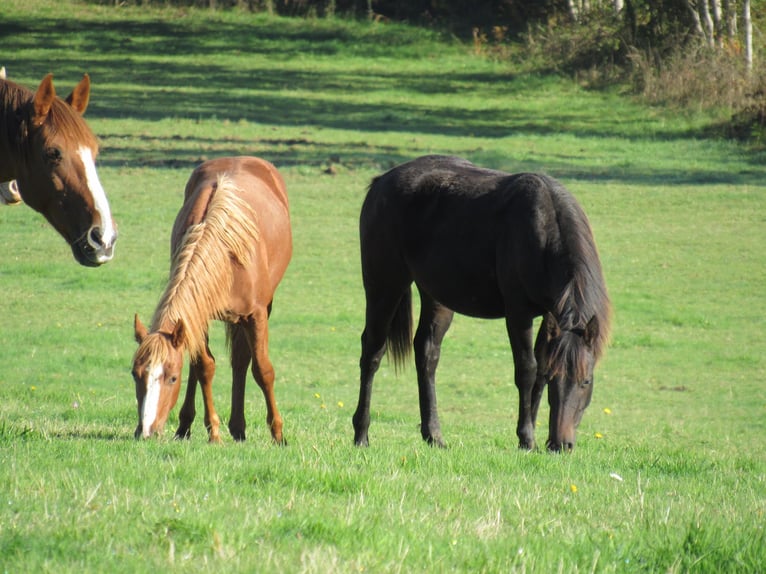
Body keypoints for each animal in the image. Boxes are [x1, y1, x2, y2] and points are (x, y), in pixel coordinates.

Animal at [131, 156, 292, 444]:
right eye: (135, 375)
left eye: (172, 378)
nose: (146, 431)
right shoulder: (199, 312)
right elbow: (204, 366)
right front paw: (213, 431)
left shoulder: (257, 314)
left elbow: (263, 370)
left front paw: (278, 433)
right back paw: (193, 426)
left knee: (242, 361)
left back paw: (239, 428)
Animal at [353, 155, 611, 452]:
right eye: (556, 380)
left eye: (586, 380)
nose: (560, 444)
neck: (543, 228)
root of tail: (380, 182)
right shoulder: (518, 313)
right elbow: (528, 369)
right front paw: (526, 437)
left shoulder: (549, 315)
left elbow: (539, 367)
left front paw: (531, 434)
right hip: (385, 286)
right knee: (372, 351)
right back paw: (361, 434)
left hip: (436, 296)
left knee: (427, 353)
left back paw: (434, 435)